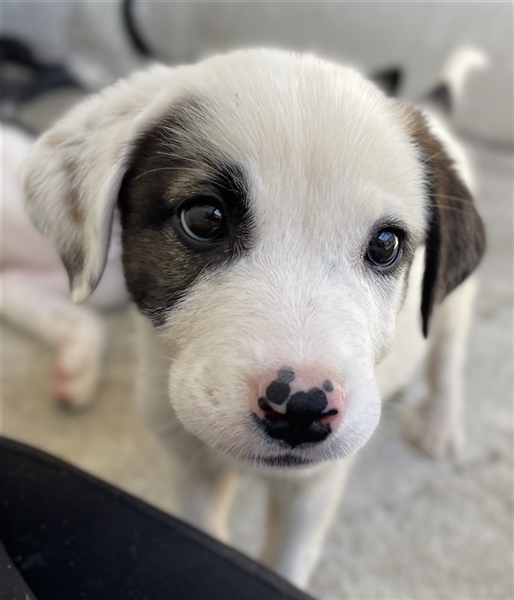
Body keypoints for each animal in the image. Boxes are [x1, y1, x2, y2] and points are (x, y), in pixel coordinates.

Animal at [17, 48, 485, 588]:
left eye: (386, 245)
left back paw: (441, 424)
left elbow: (283, 563)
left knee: (446, 361)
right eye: (205, 218)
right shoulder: (190, 467)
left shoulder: (311, 491)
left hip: (454, 306)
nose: (302, 409)